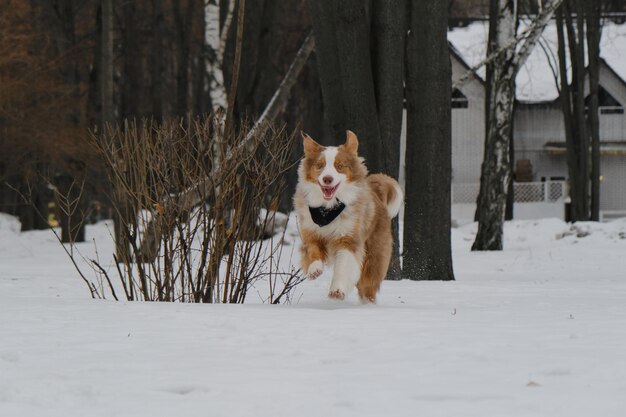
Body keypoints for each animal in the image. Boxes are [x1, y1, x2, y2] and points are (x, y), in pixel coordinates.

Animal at [292, 130, 400, 302]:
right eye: (320, 165)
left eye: (339, 166)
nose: (327, 179)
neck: (327, 209)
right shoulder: (310, 231)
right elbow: (313, 250)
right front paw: (314, 269)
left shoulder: (349, 238)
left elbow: (343, 266)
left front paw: (336, 290)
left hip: (374, 257)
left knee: (367, 286)